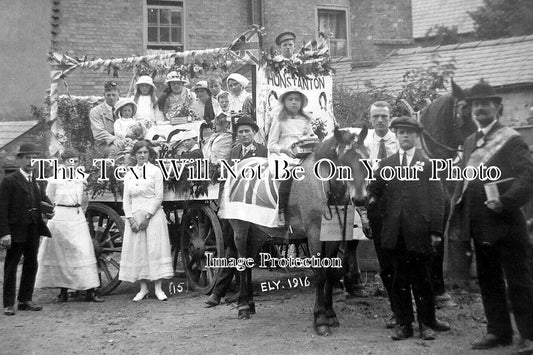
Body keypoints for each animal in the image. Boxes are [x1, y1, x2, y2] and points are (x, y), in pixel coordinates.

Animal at [220, 127, 366, 336]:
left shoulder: (333, 237)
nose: (360, 199)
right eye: (344, 161)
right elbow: (320, 275)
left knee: (249, 261)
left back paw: (250, 304)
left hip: (258, 232)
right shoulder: (314, 236)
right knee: (242, 262)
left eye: (365, 159)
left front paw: (331, 314)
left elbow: (331, 273)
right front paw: (320, 319)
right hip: (241, 228)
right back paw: (243, 307)